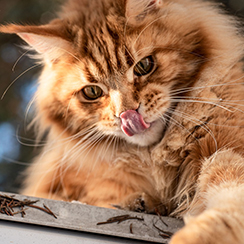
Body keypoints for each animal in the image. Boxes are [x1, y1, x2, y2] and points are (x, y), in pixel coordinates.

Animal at [1, 0, 244, 243]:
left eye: (144, 66)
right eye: (92, 92)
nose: (127, 114)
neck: (155, 160)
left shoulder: (221, 149)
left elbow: (227, 198)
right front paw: (138, 203)